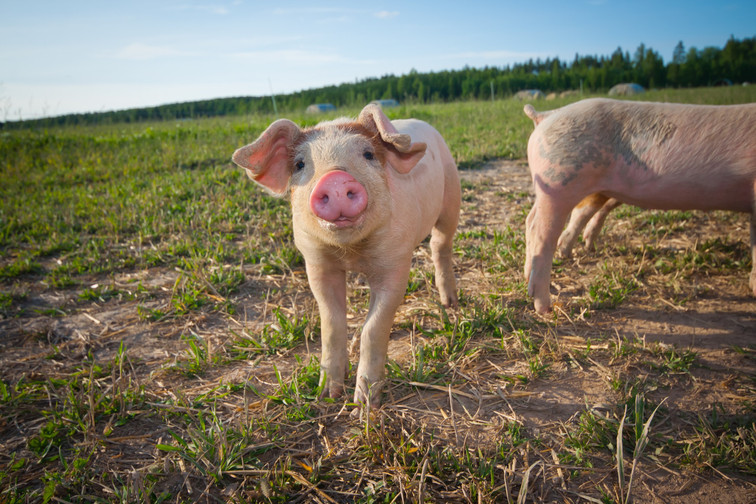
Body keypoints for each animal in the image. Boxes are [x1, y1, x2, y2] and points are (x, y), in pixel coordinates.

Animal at [232, 105, 460, 406]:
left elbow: (373, 328)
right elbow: (331, 323)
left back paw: (450, 304)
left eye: (368, 154)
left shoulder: (395, 262)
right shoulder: (316, 262)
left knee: (440, 244)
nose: (335, 179)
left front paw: (364, 404)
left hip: (452, 197)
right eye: (300, 164)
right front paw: (327, 395)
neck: (351, 252)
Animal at [524, 96, 756, 314]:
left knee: (531, 220)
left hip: (552, 187)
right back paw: (545, 307)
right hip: (558, 181)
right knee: (541, 235)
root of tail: (547, 115)